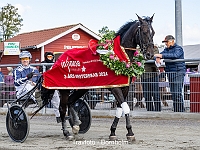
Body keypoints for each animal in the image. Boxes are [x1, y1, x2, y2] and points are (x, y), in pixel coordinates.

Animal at [41, 13, 155, 141]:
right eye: (144, 32)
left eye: (153, 32)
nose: (150, 54)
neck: (118, 57)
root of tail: (58, 59)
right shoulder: (114, 87)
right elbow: (126, 107)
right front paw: (130, 132)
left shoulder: (125, 87)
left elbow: (120, 108)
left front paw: (113, 131)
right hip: (64, 89)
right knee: (62, 108)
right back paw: (66, 132)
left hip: (81, 88)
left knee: (70, 102)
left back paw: (76, 124)